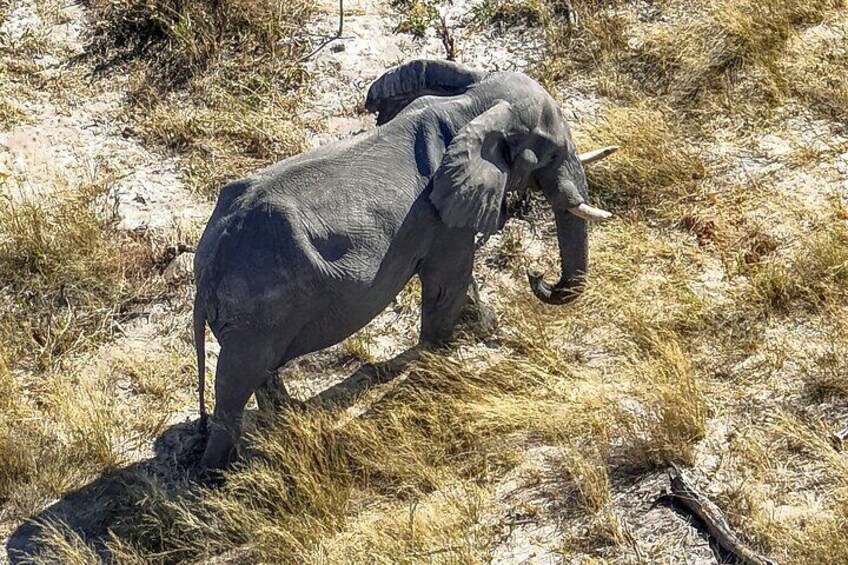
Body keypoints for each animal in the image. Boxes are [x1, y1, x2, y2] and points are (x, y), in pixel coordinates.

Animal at [192, 59, 616, 470]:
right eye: (551, 152)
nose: (536, 275)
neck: (472, 103)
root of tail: (206, 269)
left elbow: (458, 276)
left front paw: (483, 331)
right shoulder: (440, 214)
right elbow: (449, 278)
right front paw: (442, 353)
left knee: (257, 374)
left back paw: (286, 421)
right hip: (256, 316)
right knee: (234, 384)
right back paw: (220, 474)